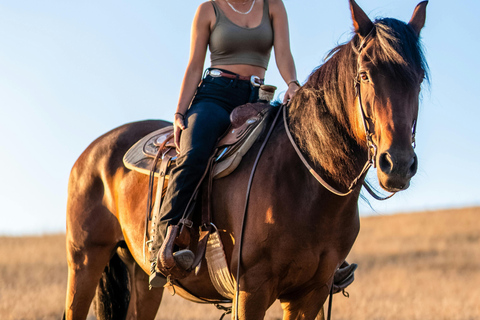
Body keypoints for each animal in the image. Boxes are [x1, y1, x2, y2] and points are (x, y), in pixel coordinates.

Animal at [62, 1, 428, 318]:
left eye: (419, 79)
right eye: (365, 75)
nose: (397, 164)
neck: (305, 182)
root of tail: (92, 152)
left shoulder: (312, 293)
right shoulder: (251, 291)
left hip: (142, 278)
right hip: (85, 261)